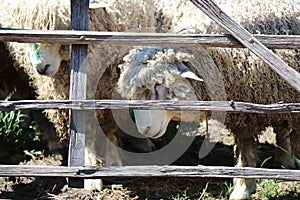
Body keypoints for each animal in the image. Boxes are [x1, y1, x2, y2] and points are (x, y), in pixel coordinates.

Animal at [117, 0, 300, 199]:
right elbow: (246, 153)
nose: (144, 129)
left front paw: (242, 189)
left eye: (159, 84)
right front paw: (244, 188)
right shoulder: (245, 115)